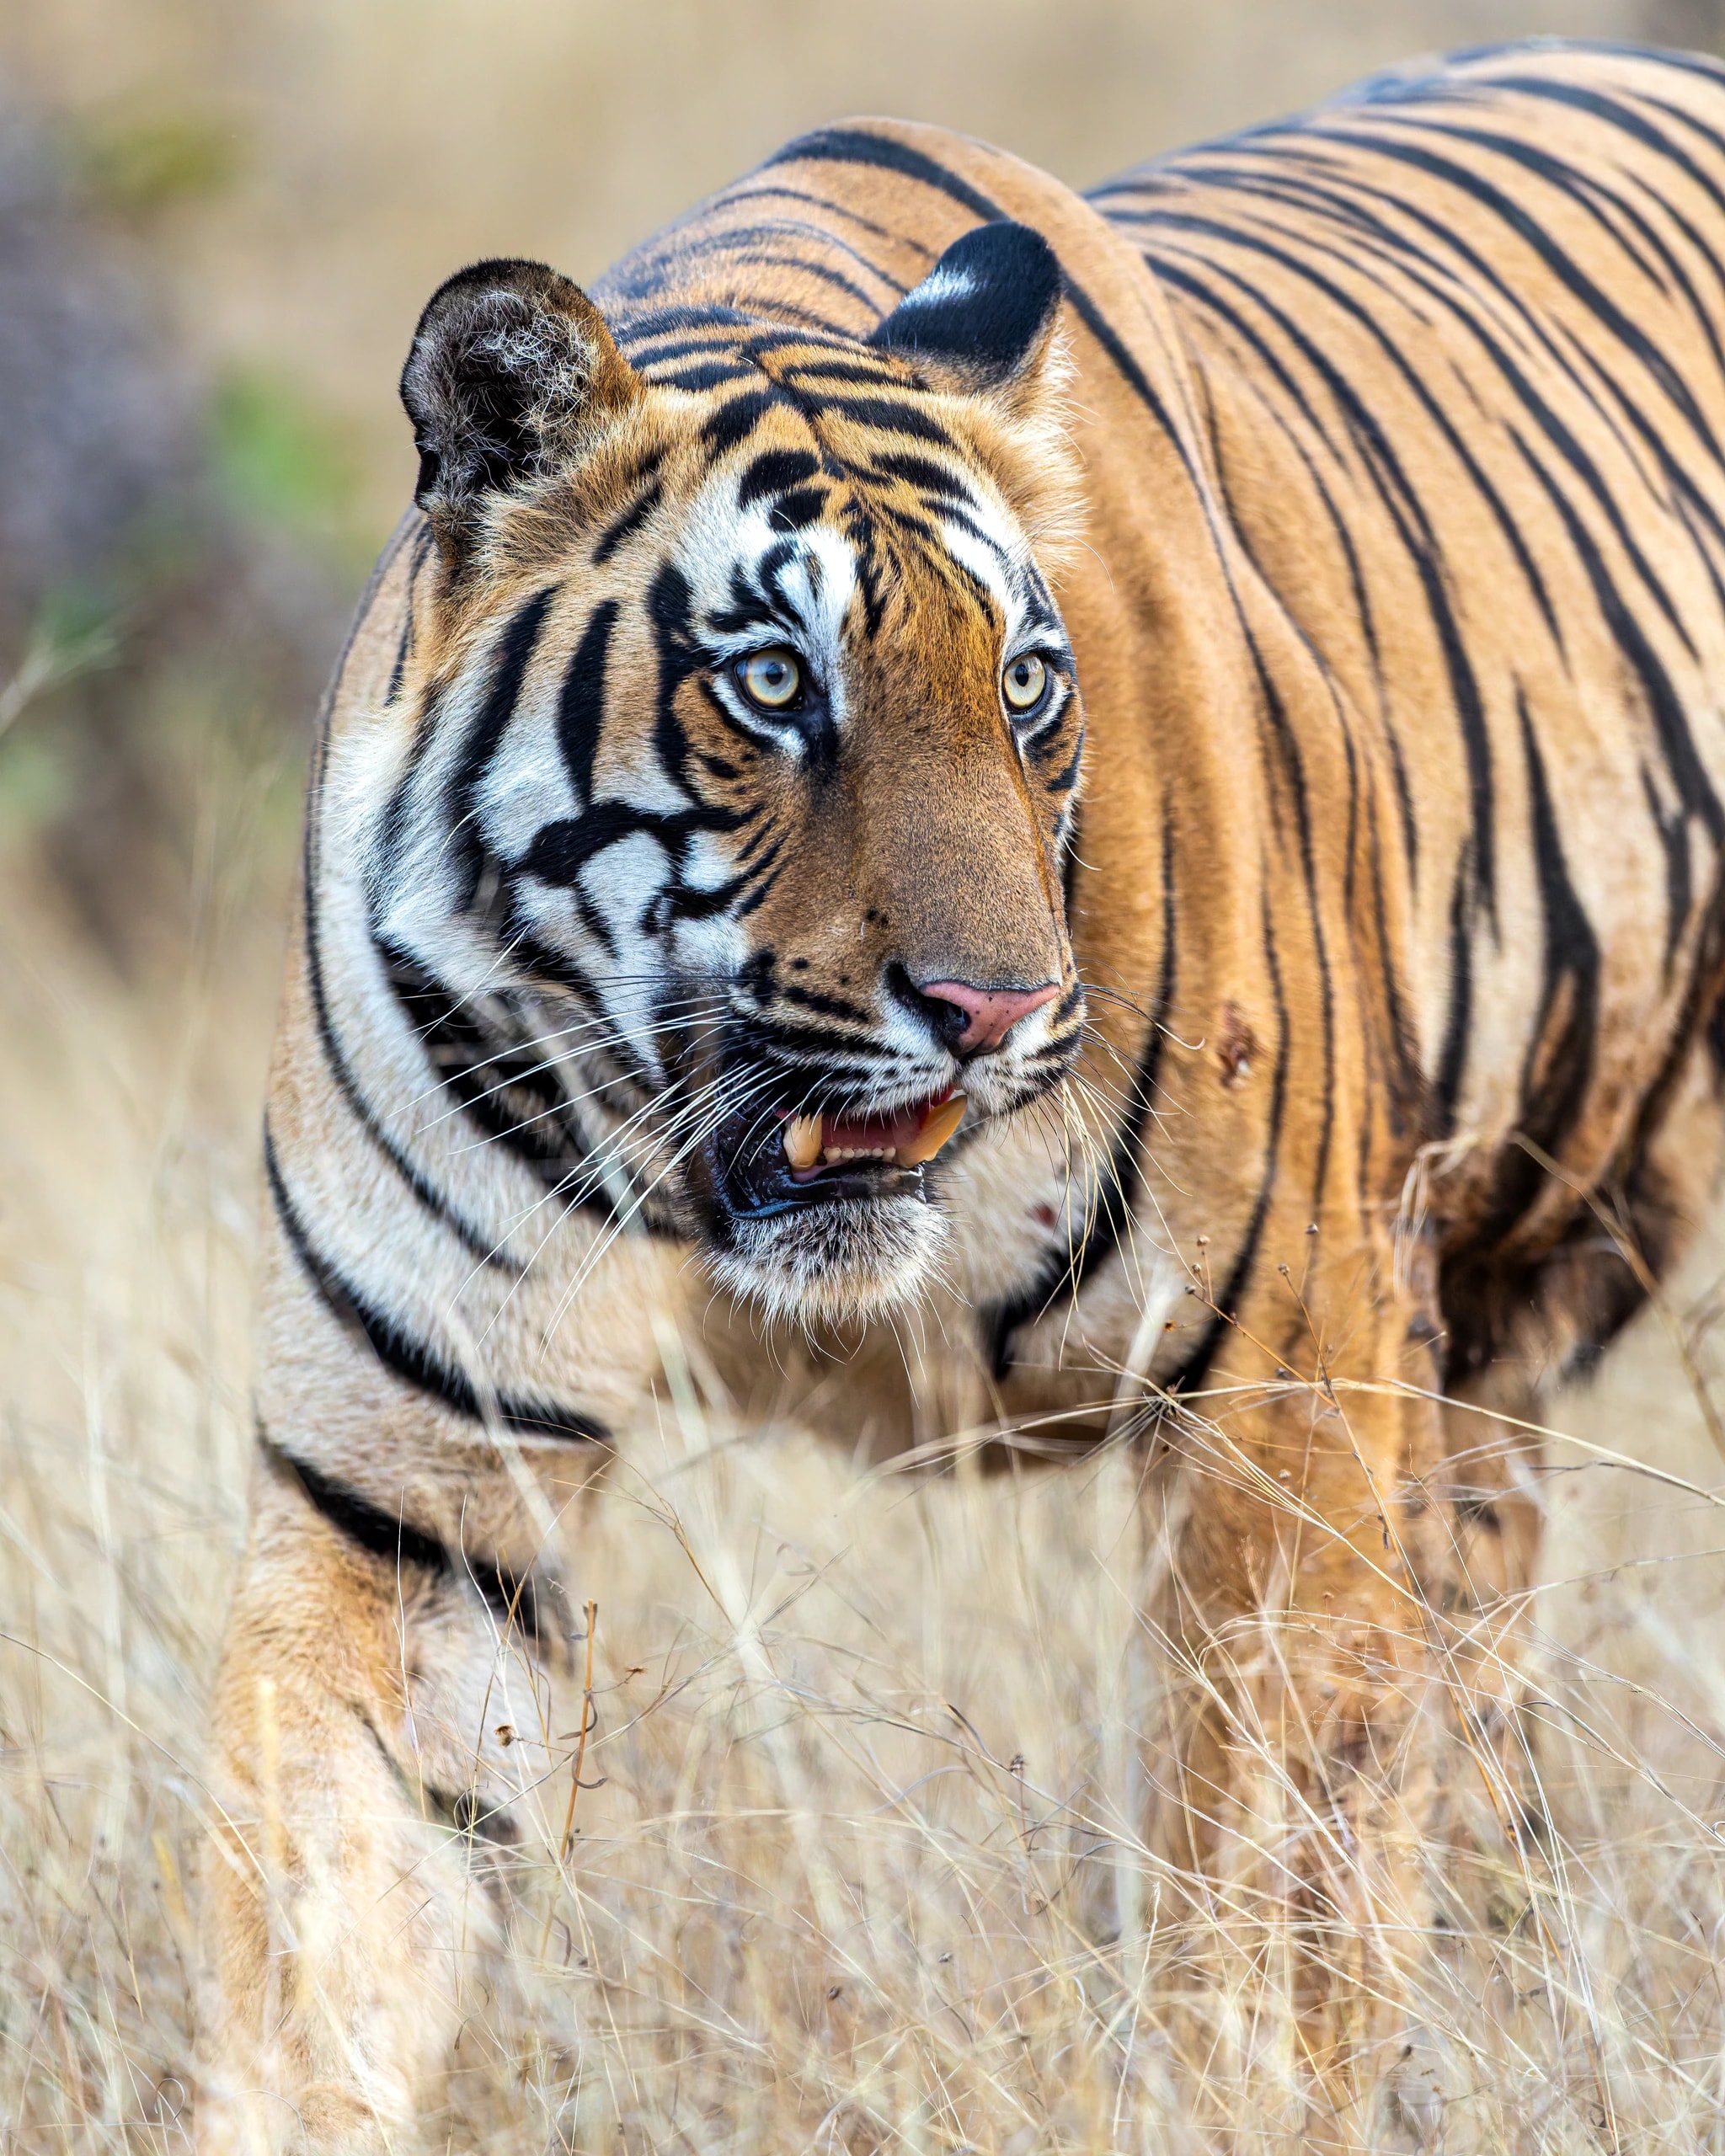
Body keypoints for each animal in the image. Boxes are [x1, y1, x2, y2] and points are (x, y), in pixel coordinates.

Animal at [197, 38, 1725, 2147]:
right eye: (771, 684)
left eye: (1022, 689)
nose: (996, 1007)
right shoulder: (410, 1483)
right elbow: (330, 1932)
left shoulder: (1287, 1413)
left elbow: (1264, 1928)